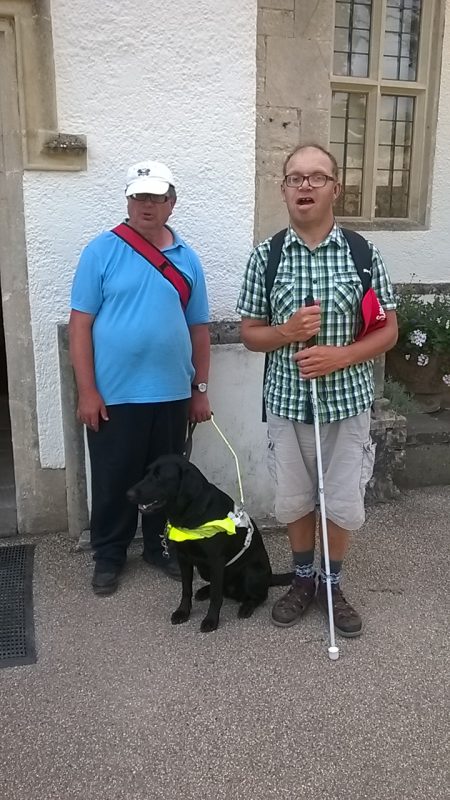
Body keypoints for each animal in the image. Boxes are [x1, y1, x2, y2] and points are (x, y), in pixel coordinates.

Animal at [128, 456, 294, 632]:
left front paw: (211, 620)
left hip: (251, 573)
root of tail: (269, 577)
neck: (190, 513)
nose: (128, 494)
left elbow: (216, 596)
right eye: (146, 473)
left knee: (259, 596)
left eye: (159, 477)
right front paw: (183, 612)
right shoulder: (183, 558)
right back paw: (203, 591)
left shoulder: (216, 561)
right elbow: (186, 589)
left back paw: (246, 607)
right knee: (221, 587)